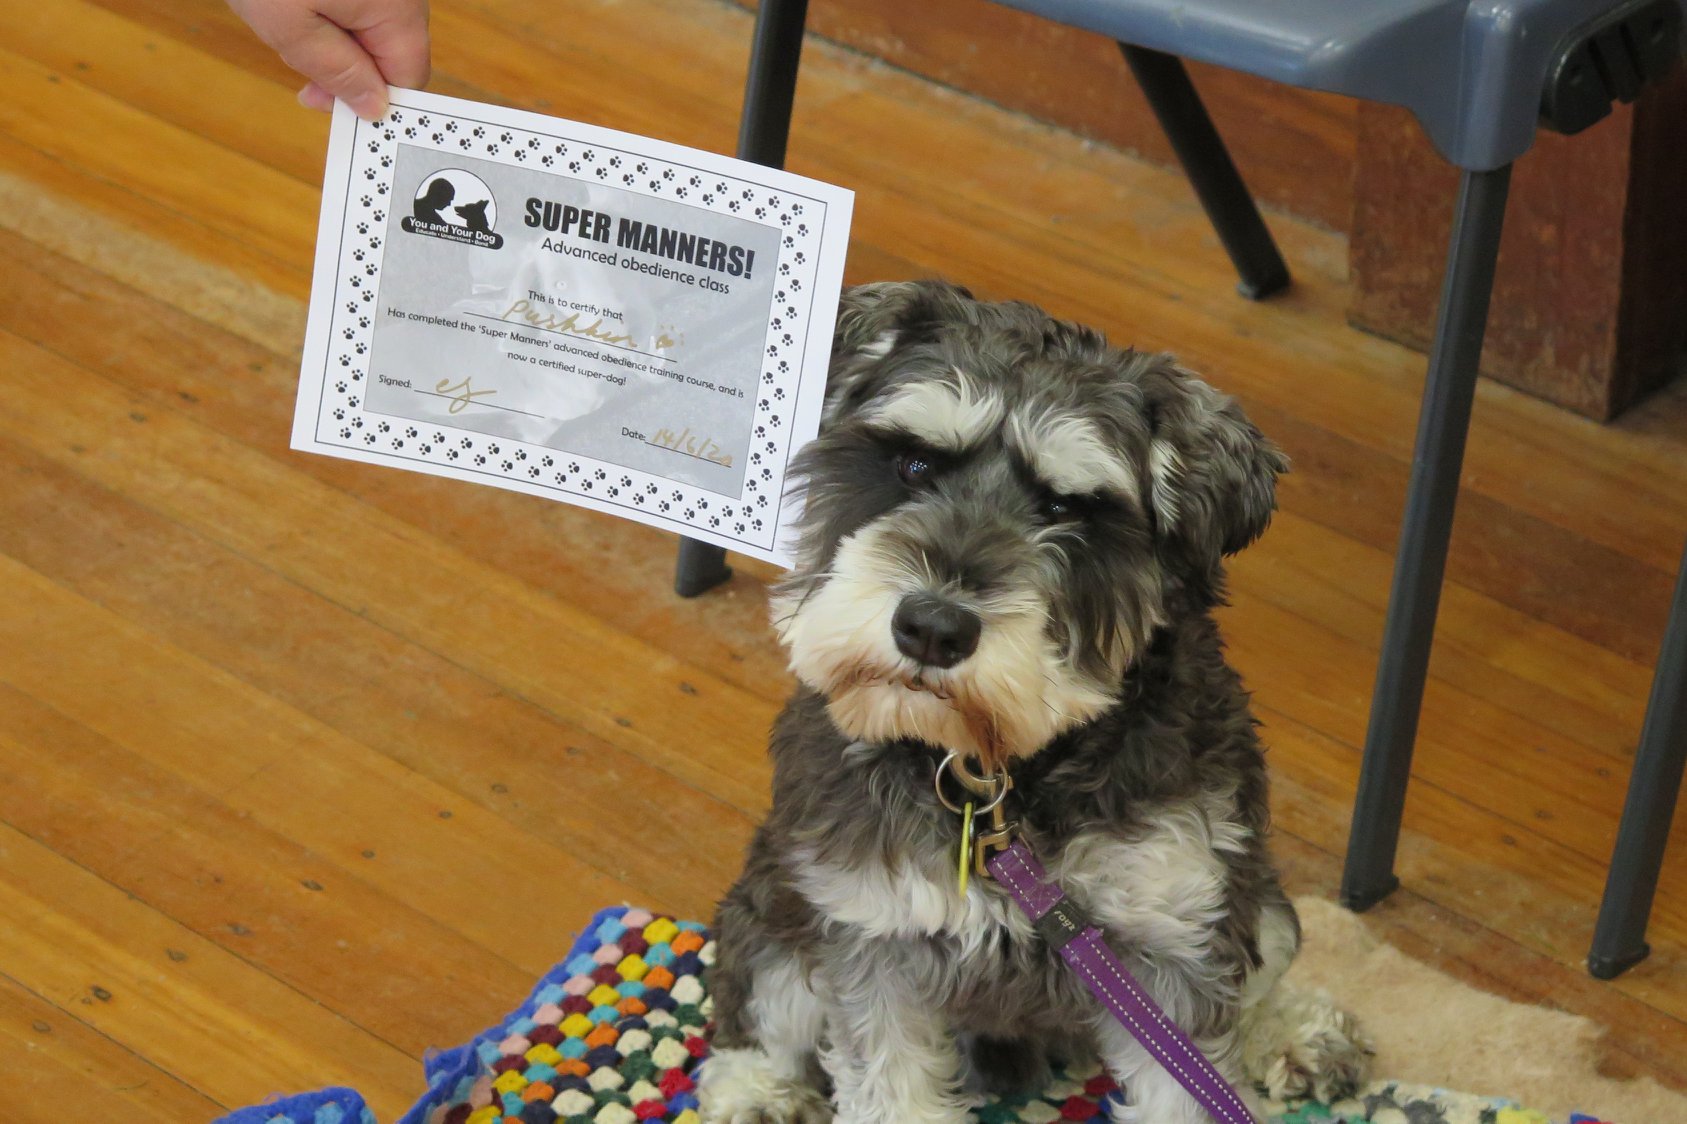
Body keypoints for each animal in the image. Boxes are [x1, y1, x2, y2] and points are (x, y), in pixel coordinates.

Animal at [698, 280, 1369, 1120]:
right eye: (912, 463)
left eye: (1064, 509)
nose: (932, 628)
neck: (995, 777)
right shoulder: (873, 936)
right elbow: (888, 1087)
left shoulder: (1170, 941)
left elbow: (1186, 1079)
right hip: (778, 910)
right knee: (755, 1002)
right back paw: (755, 1090)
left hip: (1260, 899)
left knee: (1260, 970)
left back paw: (1295, 1034)